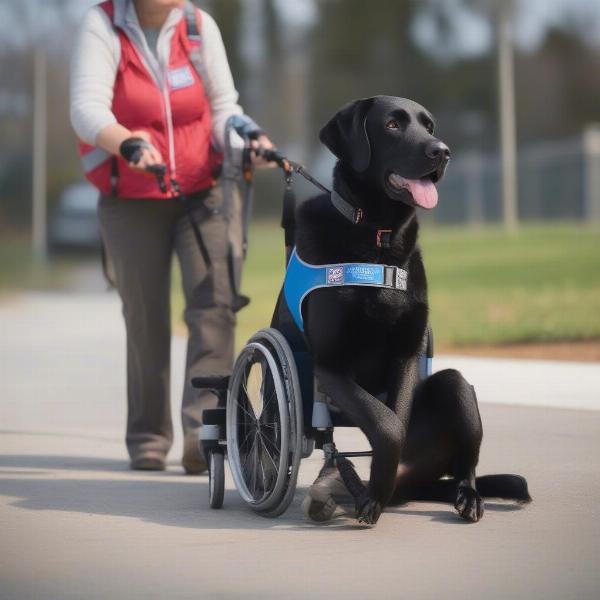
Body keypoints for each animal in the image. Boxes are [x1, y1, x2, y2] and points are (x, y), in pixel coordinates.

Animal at [290, 95, 528, 524]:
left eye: (428, 126)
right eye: (392, 125)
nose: (442, 151)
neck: (377, 238)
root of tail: (416, 485)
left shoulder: (406, 352)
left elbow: (396, 417)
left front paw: (374, 489)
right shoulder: (330, 365)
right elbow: (386, 424)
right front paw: (371, 489)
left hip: (456, 388)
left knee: (465, 461)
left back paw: (466, 497)